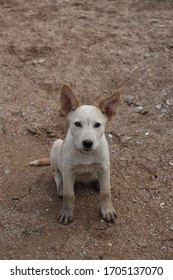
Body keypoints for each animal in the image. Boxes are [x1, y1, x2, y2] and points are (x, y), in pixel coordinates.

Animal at [29, 84, 119, 224]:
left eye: (97, 125)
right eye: (77, 124)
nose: (87, 143)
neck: (86, 154)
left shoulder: (104, 166)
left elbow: (105, 191)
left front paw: (107, 210)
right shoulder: (68, 170)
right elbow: (69, 194)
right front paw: (66, 212)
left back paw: (97, 182)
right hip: (56, 145)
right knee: (56, 175)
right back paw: (60, 186)